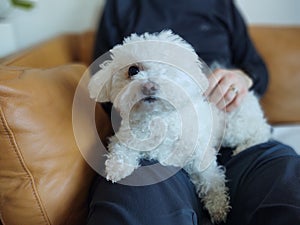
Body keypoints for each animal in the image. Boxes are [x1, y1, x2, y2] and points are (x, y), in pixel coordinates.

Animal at [87, 30, 272, 223]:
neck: (157, 120)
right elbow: (121, 150)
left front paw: (218, 206)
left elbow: (211, 179)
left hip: (234, 127)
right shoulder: (125, 137)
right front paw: (117, 168)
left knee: (262, 131)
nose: (149, 85)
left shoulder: (200, 154)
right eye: (133, 70)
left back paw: (244, 147)